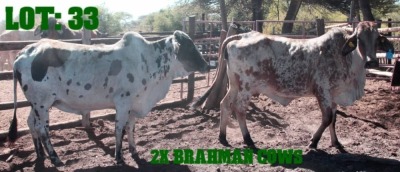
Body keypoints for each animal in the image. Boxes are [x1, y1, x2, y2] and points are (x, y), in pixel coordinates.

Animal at [7, 30, 209, 165]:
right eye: (189, 47)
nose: (207, 65)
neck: (149, 61)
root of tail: (23, 53)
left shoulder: (134, 106)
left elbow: (131, 129)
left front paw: (134, 151)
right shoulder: (123, 103)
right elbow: (119, 130)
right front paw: (119, 157)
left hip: (36, 104)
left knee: (31, 123)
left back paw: (40, 154)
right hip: (42, 103)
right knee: (42, 129)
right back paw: (55, 158)